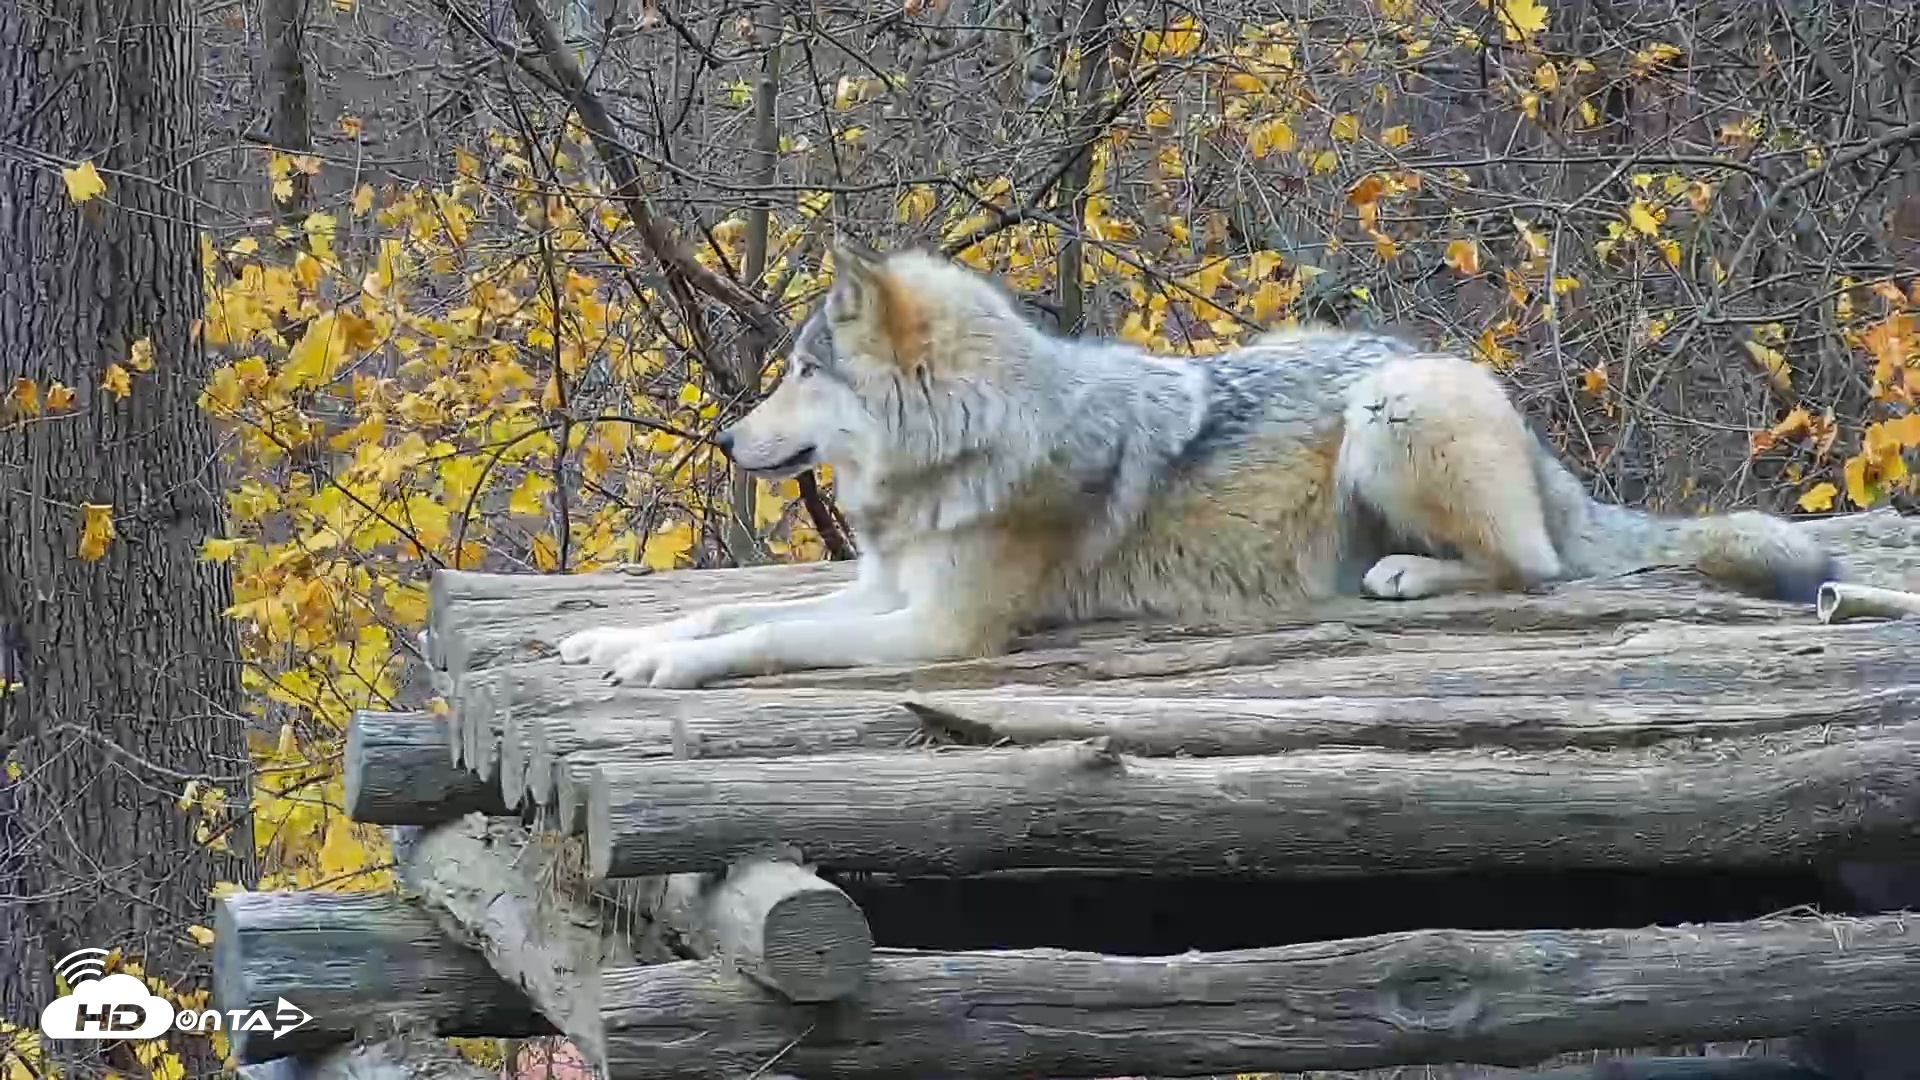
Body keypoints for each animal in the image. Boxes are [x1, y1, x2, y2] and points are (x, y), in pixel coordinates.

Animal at [557, 239, 1838, 689]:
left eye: (799, 375)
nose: (729, 441)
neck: (973, 434)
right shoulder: (882, 587)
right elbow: (730, 612)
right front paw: (614, 639)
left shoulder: (937, 630)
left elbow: (760, 637)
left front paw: (660, 666)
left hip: (1391, 407)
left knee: (1537, 571)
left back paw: (1412, 577)